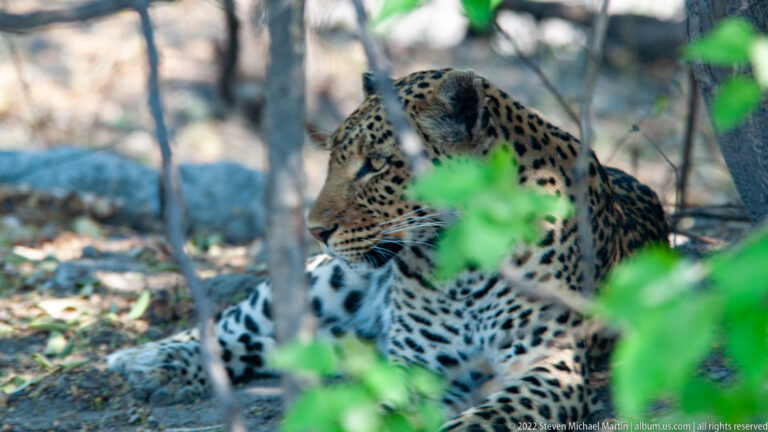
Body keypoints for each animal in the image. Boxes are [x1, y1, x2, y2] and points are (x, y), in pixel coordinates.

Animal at [107, 68, 669, 430]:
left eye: (375, 164)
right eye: (333, 159)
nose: (314, 229)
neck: (463, 264)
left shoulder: (550, 365)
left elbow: (489, 417)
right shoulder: (414, 366)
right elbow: (374, 410)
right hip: (330, 281)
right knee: (239, 327)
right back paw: (147, 361)